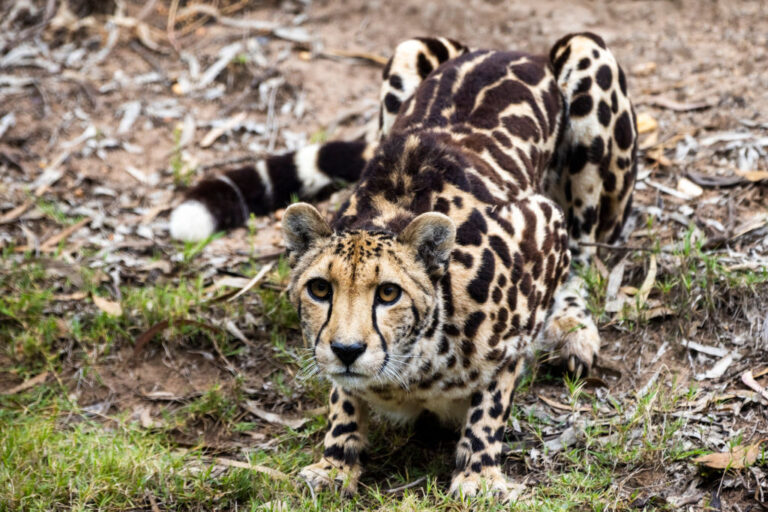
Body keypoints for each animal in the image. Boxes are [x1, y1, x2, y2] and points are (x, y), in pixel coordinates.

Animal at [169, 33, 637, 499]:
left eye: (388, 293)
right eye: (320, 289)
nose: (347, 350)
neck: (412, 367)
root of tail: (515, 50)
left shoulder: (542, 227)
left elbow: (497, 384)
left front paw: (478, 473)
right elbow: (342, 394)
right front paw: (335, 461)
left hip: (587, 61)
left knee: (588, 253)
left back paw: (572, 329)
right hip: (407, 53)